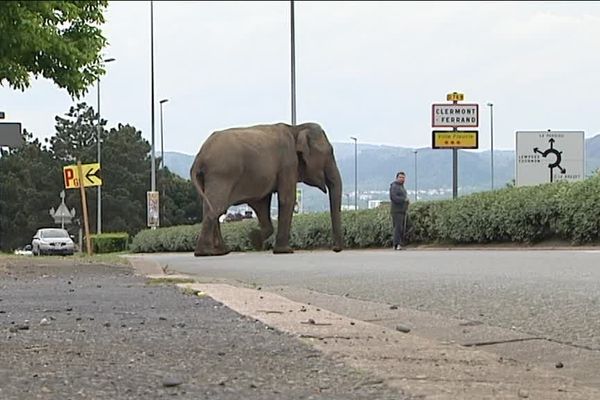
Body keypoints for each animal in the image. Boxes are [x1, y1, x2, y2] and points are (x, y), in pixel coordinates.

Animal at [191, 122, 342, 256]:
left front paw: (254, 239)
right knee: (216, 208)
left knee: (211, 209)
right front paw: (285, 251)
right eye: (330, 152)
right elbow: (287, 199)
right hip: (222, 175)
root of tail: (200, 157)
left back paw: (219, 252)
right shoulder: (288, 163)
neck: (296, 128)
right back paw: (206, 252)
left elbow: (261, 203)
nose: (335, 249)